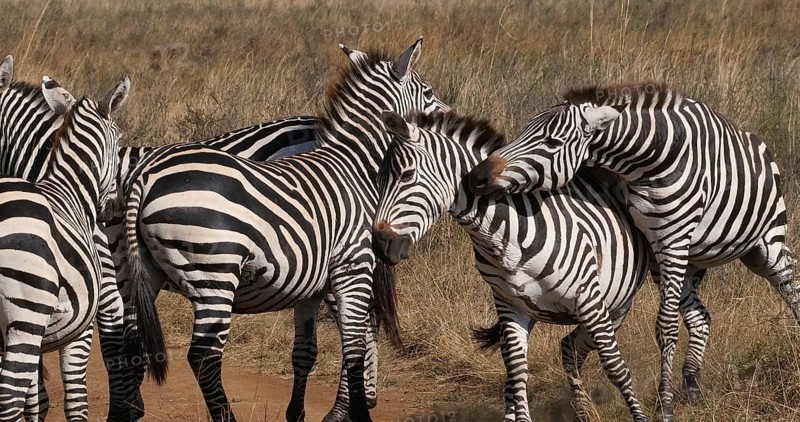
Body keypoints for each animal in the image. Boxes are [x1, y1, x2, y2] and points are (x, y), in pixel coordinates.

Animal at [0, 54, 134, 421]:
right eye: (119, 146)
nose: (112, 209)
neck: (68, 188)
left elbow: (36, 399)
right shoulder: (78, 329)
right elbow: (75, 398)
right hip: (27, 315)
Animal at [121, 38, 448, 422]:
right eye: (429, 92)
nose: (454, 120)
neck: (355, 164)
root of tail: (145, 177)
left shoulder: (313, 282)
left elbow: (307, 350)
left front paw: (300, 413)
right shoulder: (353, 266)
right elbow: (353, 345)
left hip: (147, 271)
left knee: (132, 344)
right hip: (214, 273)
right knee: (203, 357)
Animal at [466, 82, 797, 421]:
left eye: (552, 142)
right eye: (522, 132)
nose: (475, 177)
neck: (652, 158)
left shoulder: (673, 238)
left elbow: (666, 326)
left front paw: (665, 407)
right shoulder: (660, 242)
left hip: (766, 243)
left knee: (790, 290)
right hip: (684, 263)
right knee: (700, 317)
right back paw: (692, 387)